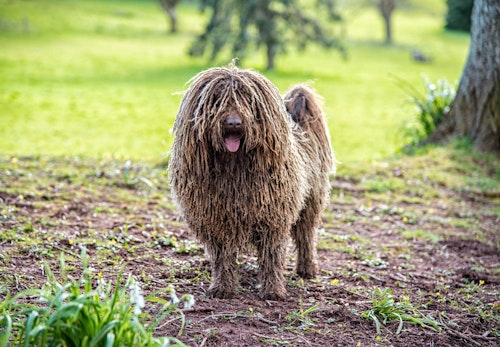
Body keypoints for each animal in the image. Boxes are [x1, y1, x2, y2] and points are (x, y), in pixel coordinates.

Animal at [169, 64, 336, 300]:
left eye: (248, 99)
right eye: (217, 99)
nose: (233, 123)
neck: (234, 170)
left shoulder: (273, 220)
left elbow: (271, 257)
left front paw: (273, 290)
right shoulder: (217, 221)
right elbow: (223, 258)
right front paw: (223, 287)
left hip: (312, 200)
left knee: (306, 235)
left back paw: (307, 269)